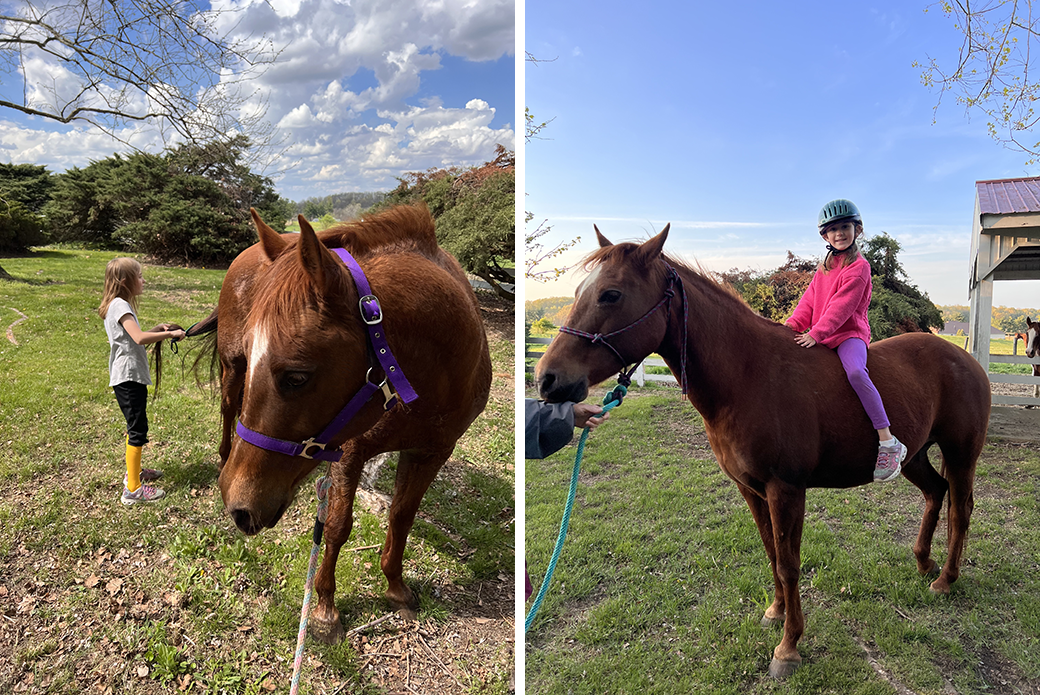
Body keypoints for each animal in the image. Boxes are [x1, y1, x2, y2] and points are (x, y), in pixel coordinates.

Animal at [206, 204, 490, 640]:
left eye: (297, 377)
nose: (239, 505)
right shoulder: (349, 454)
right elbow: (338, 526)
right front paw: (325, 608)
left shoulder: (431, 452)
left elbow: (402, 516)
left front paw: (395, 586)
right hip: (232, 368)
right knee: (226, 408)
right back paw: (223, 458)